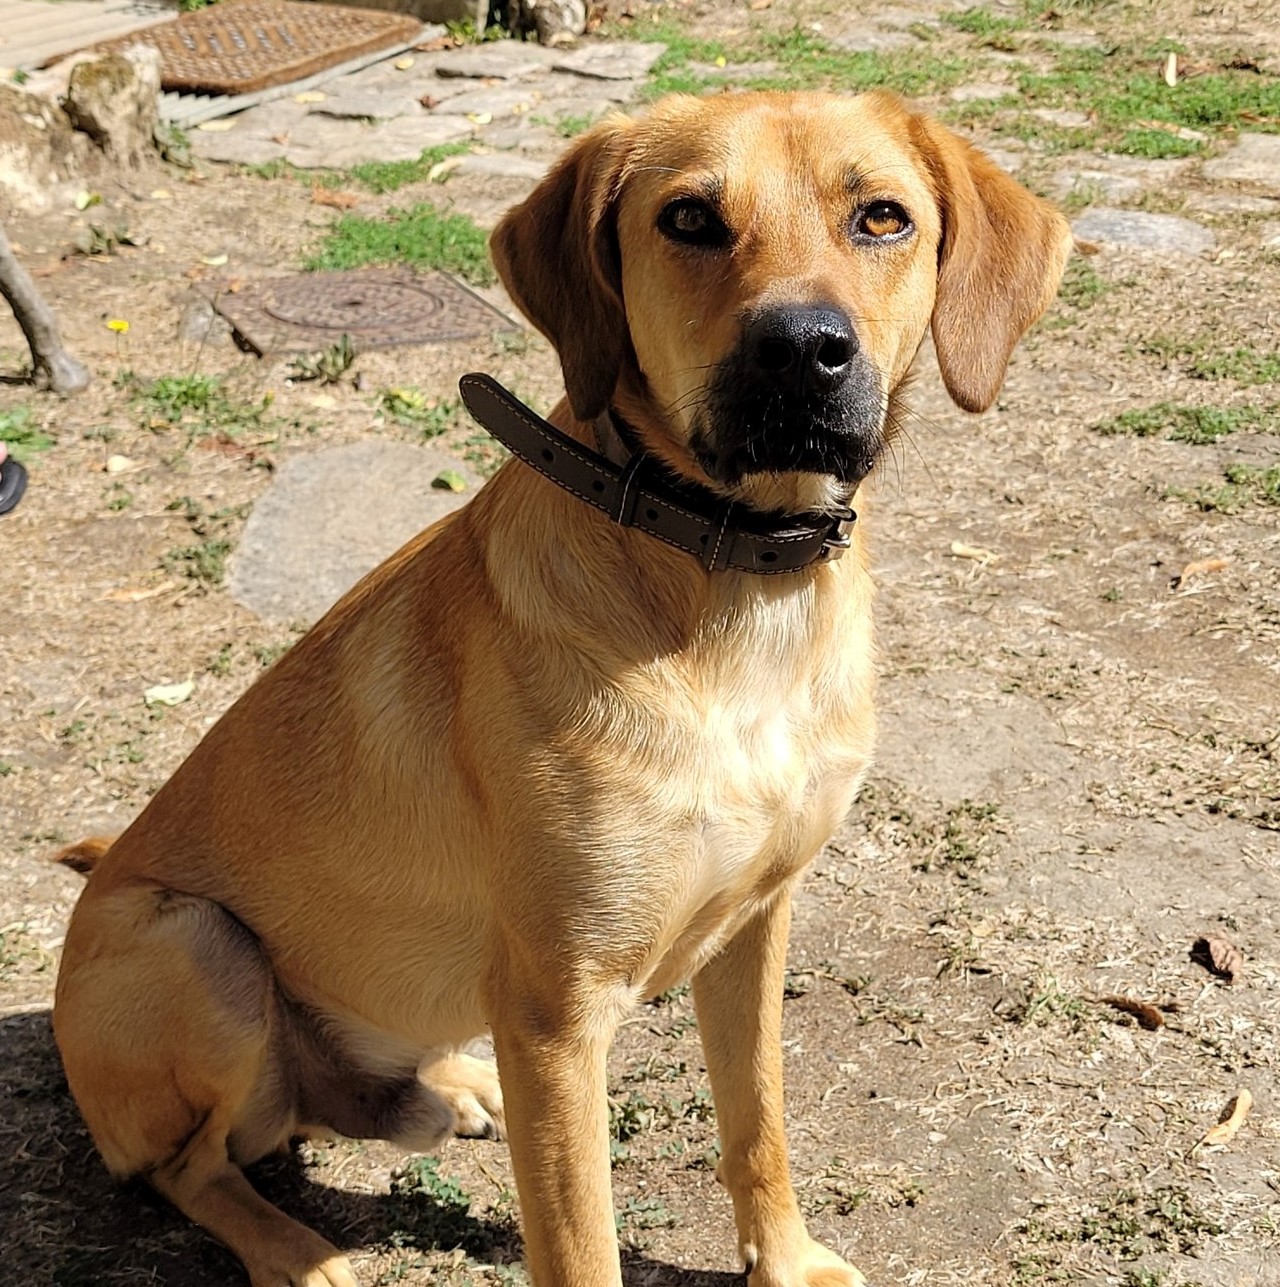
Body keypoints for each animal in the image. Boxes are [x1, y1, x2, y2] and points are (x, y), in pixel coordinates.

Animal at [52, 90, 1070, 1287]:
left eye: (881, 218)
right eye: (688, 218)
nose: (800, 352)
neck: (730, 589)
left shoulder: (755, 922)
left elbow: (757, 1119)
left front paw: (784, 1257)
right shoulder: (555, 1015)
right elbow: (584, 1245)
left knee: (338, 1101)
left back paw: (445, 1088)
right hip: (193, 946)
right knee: (191, 1167)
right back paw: (294, 1249)